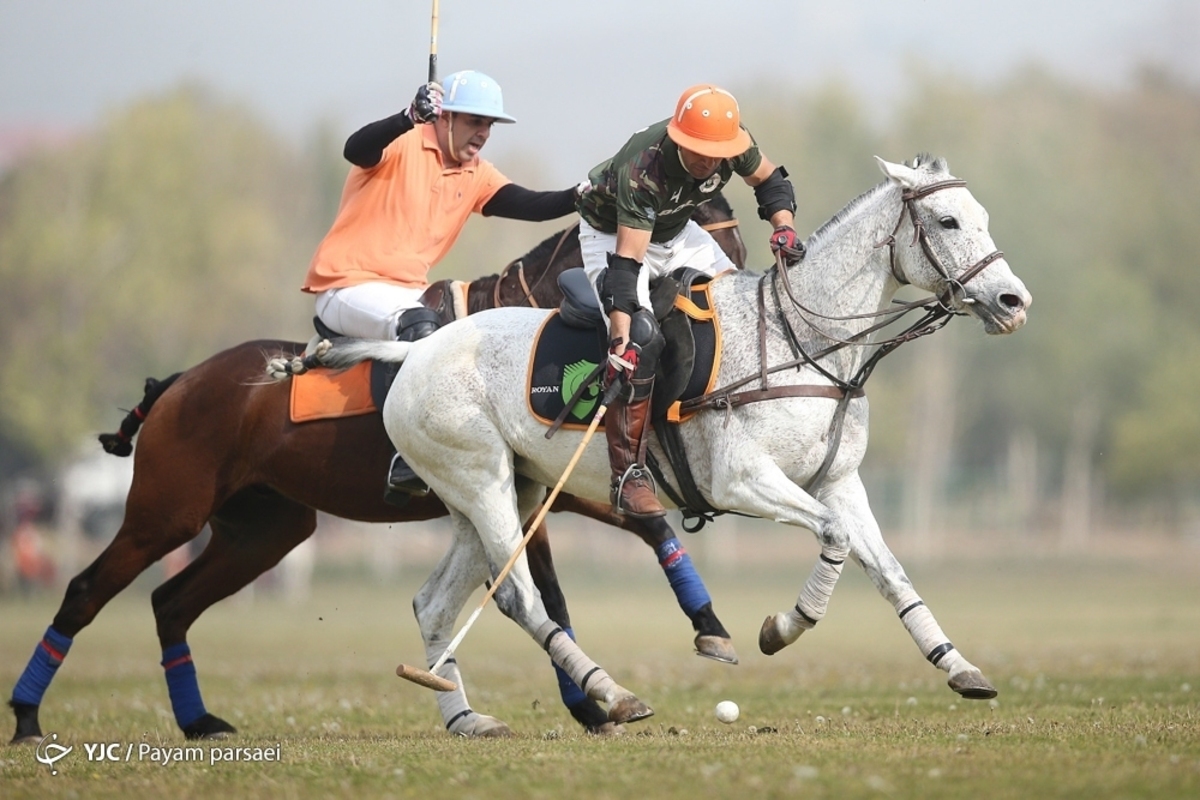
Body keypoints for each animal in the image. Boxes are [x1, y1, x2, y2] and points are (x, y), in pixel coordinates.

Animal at [7, 194, 739, 743]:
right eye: (706, 233)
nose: (713, 305)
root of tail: (178, 382)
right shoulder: (538, 489)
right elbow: (564, 581)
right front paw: (602, 695)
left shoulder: (547, 488)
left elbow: (623, 540)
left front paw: (670, 651)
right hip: (166, 511)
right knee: (86, 591)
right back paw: (26, 717)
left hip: (266, 529)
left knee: (170, 602)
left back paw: (198, 720)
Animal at [307, 151, 1032, 724]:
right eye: (947, 222)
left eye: (983, 217)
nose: (1013, 302)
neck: (804, 341)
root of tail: (415, 351)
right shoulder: (741, 479)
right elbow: (833, 538)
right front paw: (781, 628)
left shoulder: (838, 479)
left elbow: (888, 568)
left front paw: (958, 666)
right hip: (480, 478)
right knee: (518, 595)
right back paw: (611, 693)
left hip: (506, 490)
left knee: (435, 604)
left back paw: (469, 719)